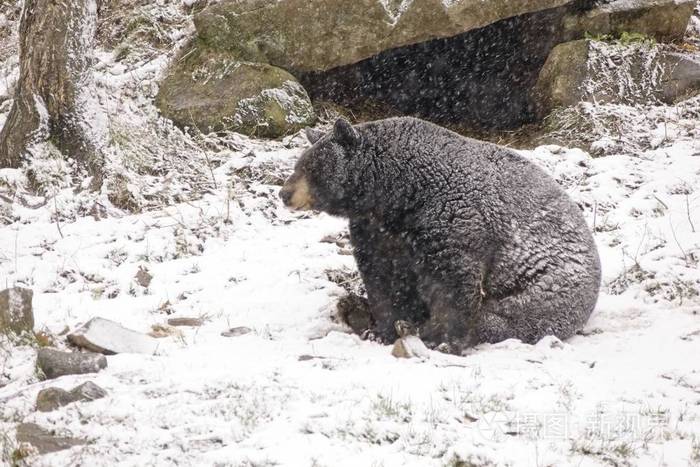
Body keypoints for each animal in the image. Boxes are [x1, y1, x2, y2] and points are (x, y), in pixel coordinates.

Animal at [280, 117, 601, 352]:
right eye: (298, 164)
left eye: (312, 167)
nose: (284, 193)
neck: (396, 196)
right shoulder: (376, 231)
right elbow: (384, 278)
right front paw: (380, 329)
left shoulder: (451, 217)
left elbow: (453, 281)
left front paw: (441, 338)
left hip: (545, 288)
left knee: (506, 319)